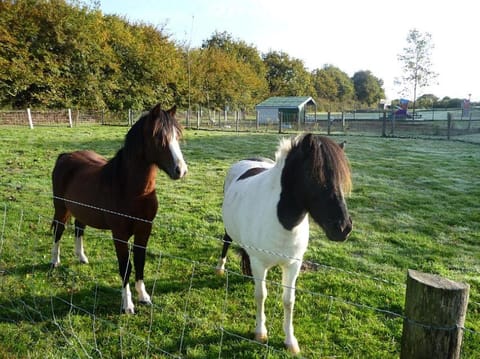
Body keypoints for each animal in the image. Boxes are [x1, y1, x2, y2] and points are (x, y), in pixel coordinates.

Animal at [51, 104, 188, 316]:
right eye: (158, 137)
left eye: (178, 135)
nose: (181, 170)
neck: (132, 190)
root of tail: (65, 156)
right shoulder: (120, 235)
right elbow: (126, 267)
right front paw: (128, 305)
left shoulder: (144, 230)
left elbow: (139, 261)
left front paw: (144, 297)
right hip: (61, 208)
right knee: (59, 230)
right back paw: (55, 261)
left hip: (81, 210)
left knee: (79, 229)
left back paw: (81, 257)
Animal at [216, 134, 350, 352]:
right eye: (315, 176)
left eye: (341, 179)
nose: (343, 228)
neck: (282, 221)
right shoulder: (259, 263)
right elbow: (261, 295)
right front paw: (260, 333)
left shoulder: (293, 265)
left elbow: (288, 300)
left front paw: (290, 341)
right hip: (229, 230)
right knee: (226, 241)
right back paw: (220, 268)